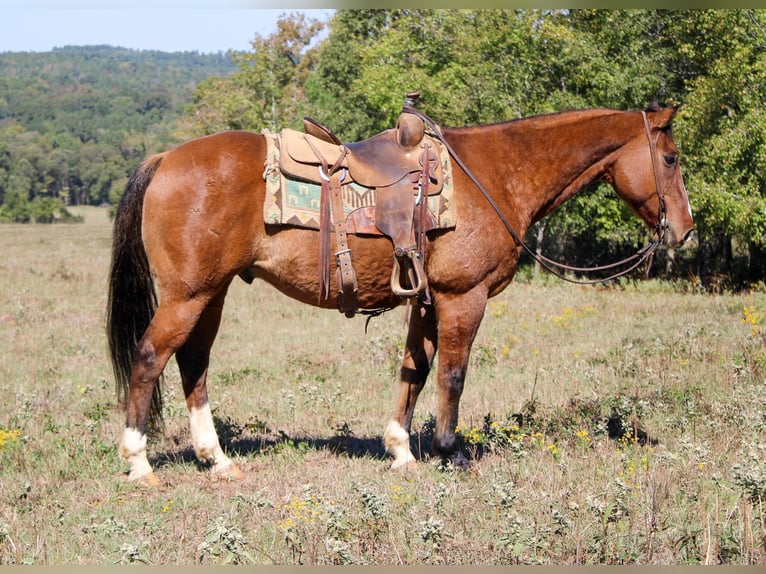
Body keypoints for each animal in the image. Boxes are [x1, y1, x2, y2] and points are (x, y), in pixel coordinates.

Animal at [106, 104, 696, 486]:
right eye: (670, 159)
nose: (686, 230)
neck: (494, 175)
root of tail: (163, 159)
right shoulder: (463, 297)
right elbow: (452, 374)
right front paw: (450, 453)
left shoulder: (427, 300)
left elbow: (415, 369)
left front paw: (400, 450)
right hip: (187, 295)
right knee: (149, 357)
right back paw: (139, 461)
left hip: (212, 292)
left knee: (193, 363)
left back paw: (217, 458)